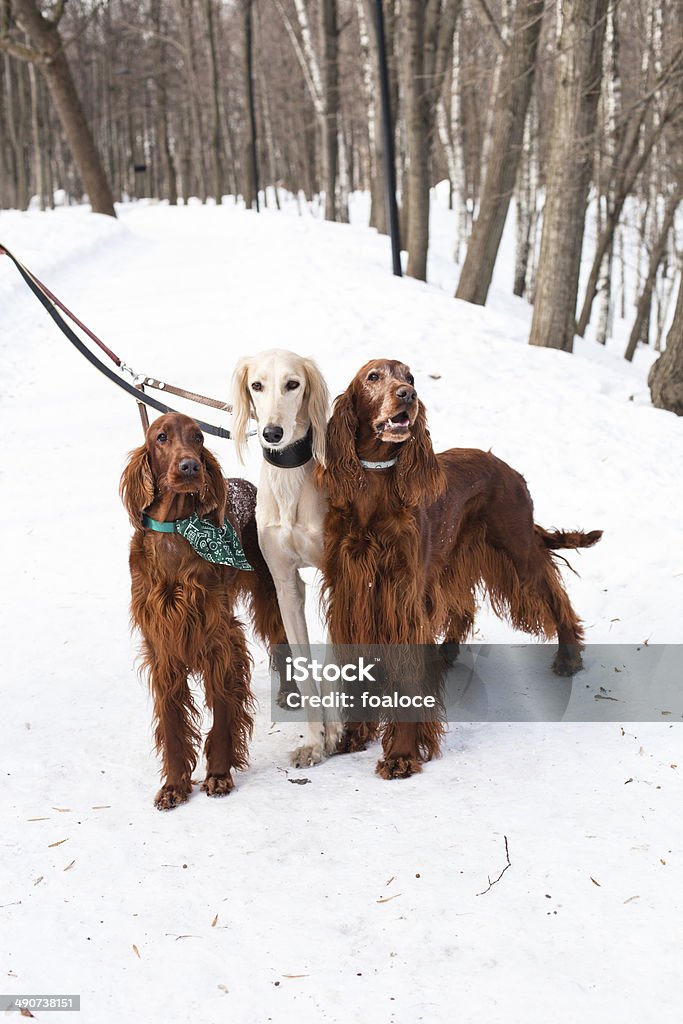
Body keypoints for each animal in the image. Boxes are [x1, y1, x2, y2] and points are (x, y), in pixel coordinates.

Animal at [120, 409, 286, 806]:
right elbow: (171, 720)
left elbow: (224, 709)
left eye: (198, 437)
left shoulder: (219, 638)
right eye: (161, 437)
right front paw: (174, 785)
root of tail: (247, 485)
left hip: (269, 592)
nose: (190, 466)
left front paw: (219, 774)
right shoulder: (162, 644)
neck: (176, 534)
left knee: (282, 637)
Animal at [232, 348, 342, 765]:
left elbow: (334, 663)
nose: (272, 433)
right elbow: (308, 670)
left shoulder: (339, 577)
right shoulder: (285, 586)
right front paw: (314, 740)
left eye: (293, 384)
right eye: (257, 385)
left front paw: (336, 730)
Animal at [317, 360, 602, 774]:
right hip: (452, 560)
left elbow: (407, 676)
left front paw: (402, 755)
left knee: (555, 596)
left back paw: (569, 657)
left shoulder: (403, 598)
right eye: (373, 377)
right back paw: (445, 653)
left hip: (517, 551)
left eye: (410, 376)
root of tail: (508, 470)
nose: (408, 394)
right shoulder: (352, 596)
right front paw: (355, 734)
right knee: (465, 607)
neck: (374, 485)